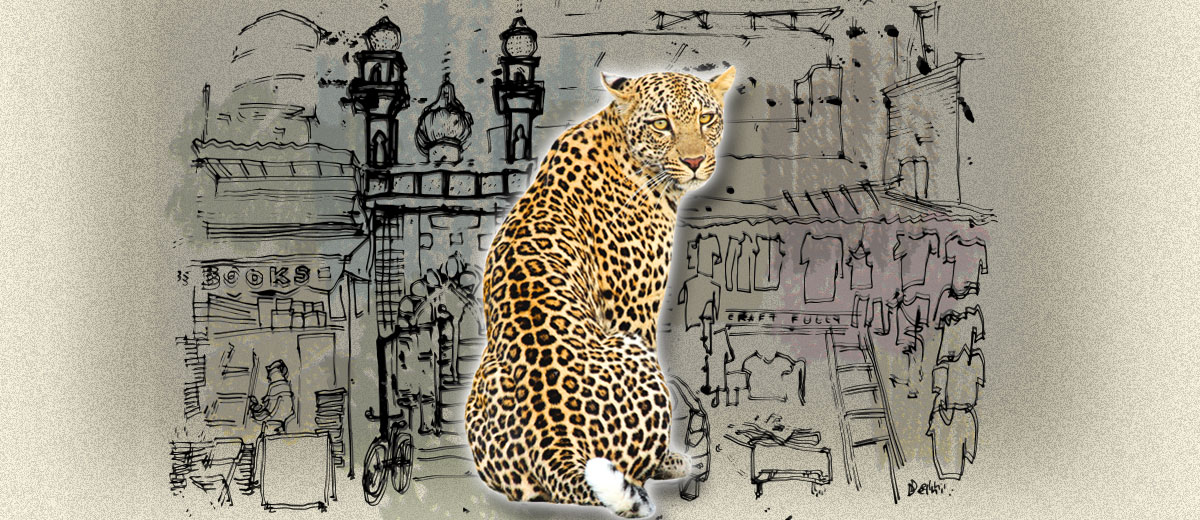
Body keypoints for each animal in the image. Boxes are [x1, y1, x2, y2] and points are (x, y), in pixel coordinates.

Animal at [465, 66, 736, 518]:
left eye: (705, 119)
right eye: (661, 124)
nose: (695, 162)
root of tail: (554, 443)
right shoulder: (634, 311)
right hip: (632, 348)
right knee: (635, 468)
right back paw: (678, 462)